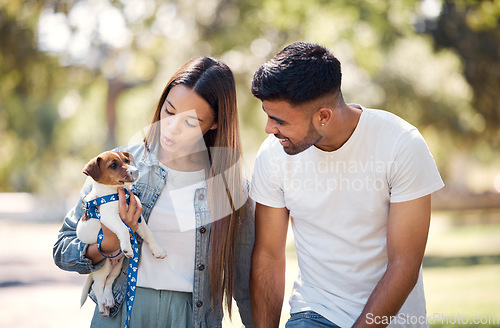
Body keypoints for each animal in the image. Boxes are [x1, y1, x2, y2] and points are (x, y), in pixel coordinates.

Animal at [76, 152, 166, 318]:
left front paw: (157, 250)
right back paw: (103, 306)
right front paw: (127, 246)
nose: (135, 171)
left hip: (117, 266)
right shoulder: (109, 217)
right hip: (103, 265)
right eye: (113, 165)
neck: (117, 192)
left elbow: (149, 234)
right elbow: (123, 229)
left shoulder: (138, 219)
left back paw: (109, 299)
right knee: (98, 286)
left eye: (127, 160)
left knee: (109, 282)